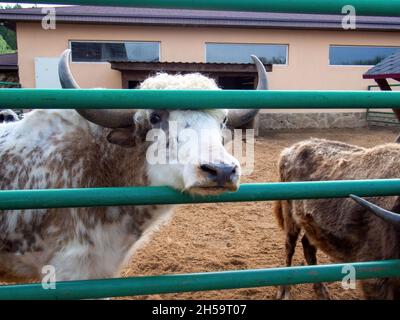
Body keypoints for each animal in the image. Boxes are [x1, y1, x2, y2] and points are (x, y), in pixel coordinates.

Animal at [274, 138, 400, 300]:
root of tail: (290, 150)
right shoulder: (375, 278)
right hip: (290, 217)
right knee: (290, 248)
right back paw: (284, 291)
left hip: (313, 226)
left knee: (308, 247)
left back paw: (322, 292)